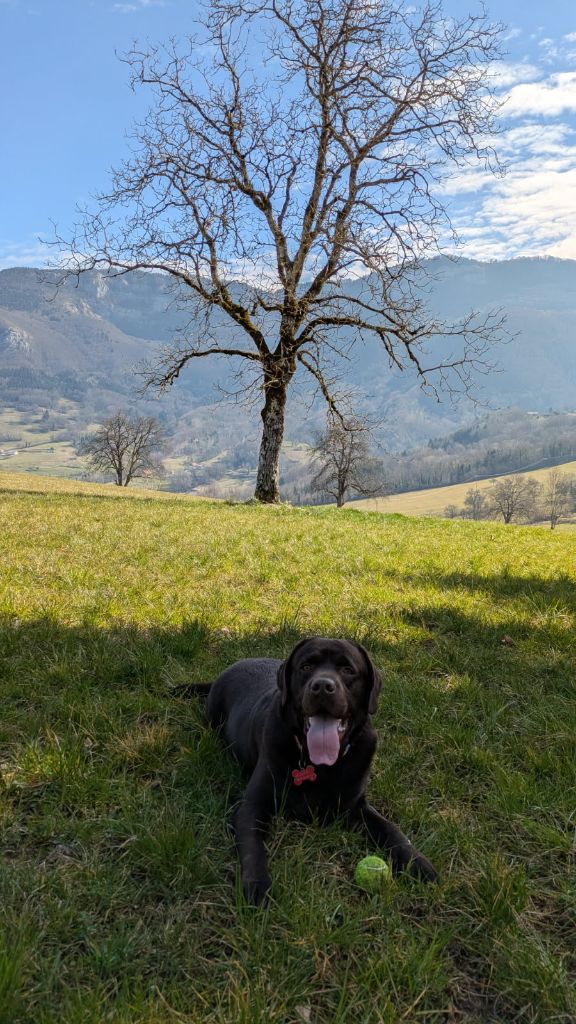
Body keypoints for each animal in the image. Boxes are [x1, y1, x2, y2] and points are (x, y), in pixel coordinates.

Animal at [201, 634, 434, 909]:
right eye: (306, 667)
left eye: (348, 670)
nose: (322, 686)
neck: (320, 766)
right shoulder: (252, 805)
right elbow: (252, 847)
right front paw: (257, 885)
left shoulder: (355, 805)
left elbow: (391, 830)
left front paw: (417, 862)